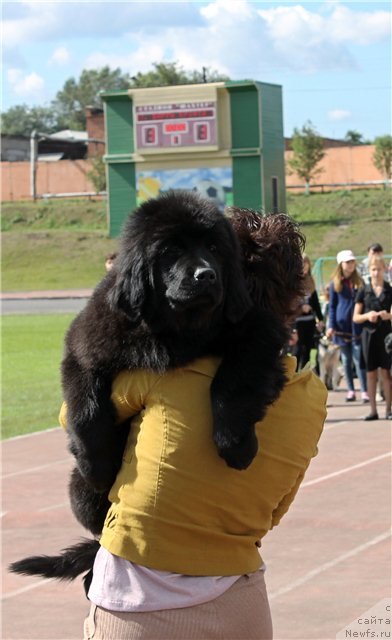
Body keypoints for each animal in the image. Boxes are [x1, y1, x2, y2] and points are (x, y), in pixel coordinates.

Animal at [9, 191, 292, 592]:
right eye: (170, 250)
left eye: (214, 248)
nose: (206, 275)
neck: (176, 329)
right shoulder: (85, 344)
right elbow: (86, 408)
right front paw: (97, 465)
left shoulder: (257, 328)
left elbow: (231, 383)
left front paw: (233, 443)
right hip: (79, 494)